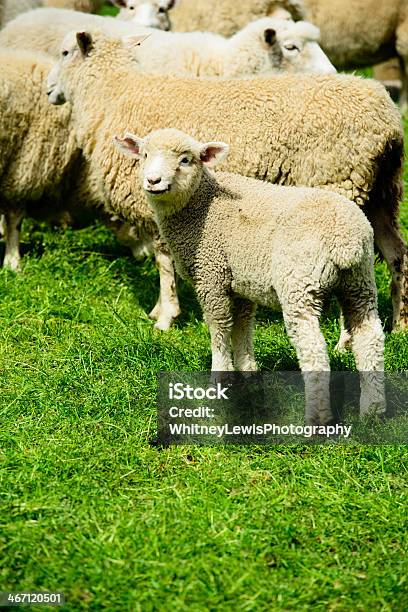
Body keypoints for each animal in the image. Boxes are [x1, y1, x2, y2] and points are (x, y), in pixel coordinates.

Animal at [46, 30, 406, 332]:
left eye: (64, 52)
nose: (48, 90)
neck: (112, 92)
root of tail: (387, 120)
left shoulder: (159, 201)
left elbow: (164, 262)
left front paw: (165, 317)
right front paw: (160, 310)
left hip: (340, 188)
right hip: (381, 192)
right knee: (397, 254)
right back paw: (399, 325)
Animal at [114, 128, 386, 426]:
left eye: (186, 160)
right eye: (145, 155)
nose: (153, 181)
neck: (200, 204)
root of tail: (345, 239)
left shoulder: (212, 276)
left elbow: (220, 329)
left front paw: (219, 379)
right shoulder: (242, 282)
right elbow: (242, 326)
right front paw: (248, 371)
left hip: (299, 284)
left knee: (314, 351)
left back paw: (317, 418)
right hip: (360, 282)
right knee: (370, 339)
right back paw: (373, 410)